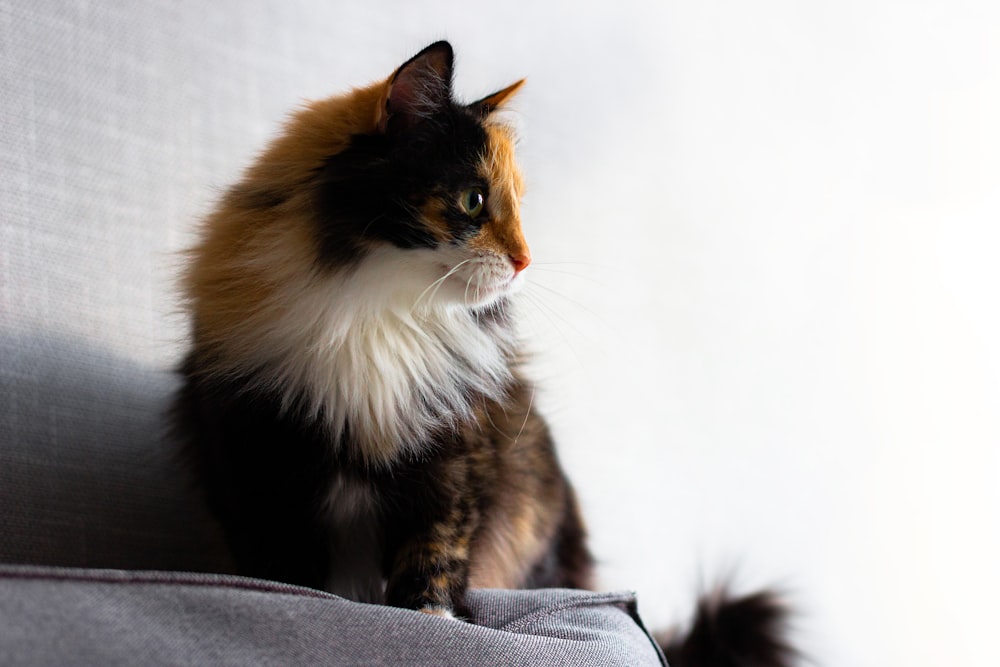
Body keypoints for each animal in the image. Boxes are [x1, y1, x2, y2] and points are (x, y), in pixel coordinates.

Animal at [174, 43, 796, 667]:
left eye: (519, 206)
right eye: (473, 201)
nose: (525, 261)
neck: (378, 314)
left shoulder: (454, 453)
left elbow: (435, 549)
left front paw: (431, 620)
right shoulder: (258, 453)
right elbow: (284, 566)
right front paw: (301, 601)